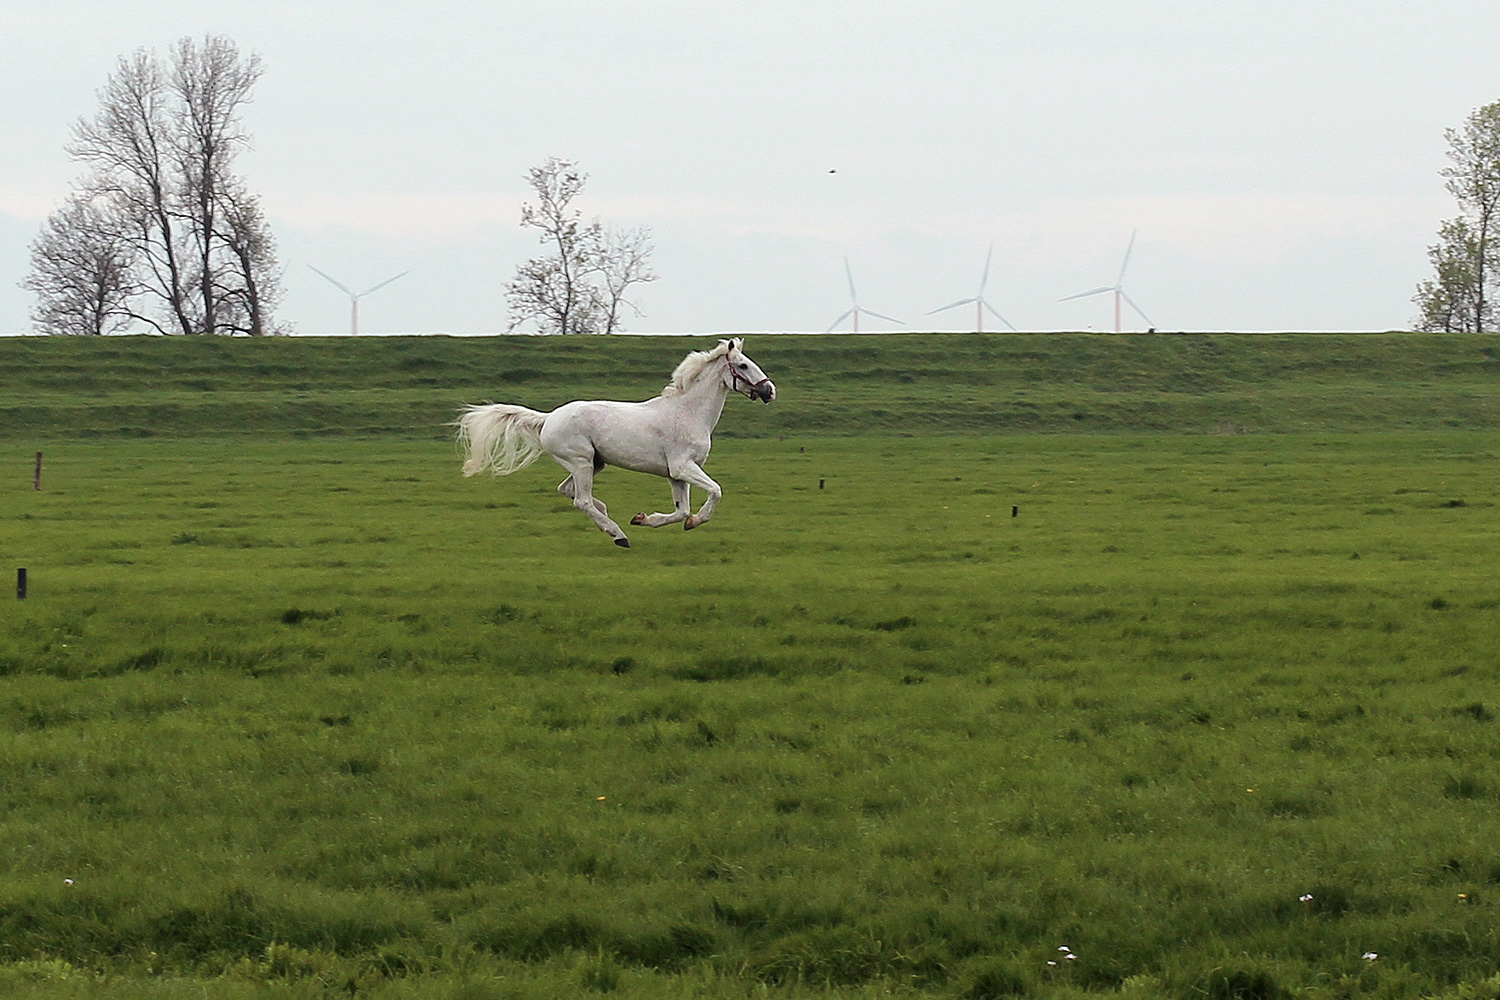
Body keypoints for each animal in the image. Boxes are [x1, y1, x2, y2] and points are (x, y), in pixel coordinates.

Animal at [454, 337, 775, 547]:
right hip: (581, 461)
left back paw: (610, 519)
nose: (770, 391)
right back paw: (618, 535)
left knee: (569, 491)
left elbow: (681, 510)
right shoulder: (684, 467)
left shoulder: (676, 474)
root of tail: (548, 419)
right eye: (743, 366)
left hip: (594, 464)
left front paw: (644, 518)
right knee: (581, 500)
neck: (688, 412)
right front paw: (695, 521)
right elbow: (716, 491)